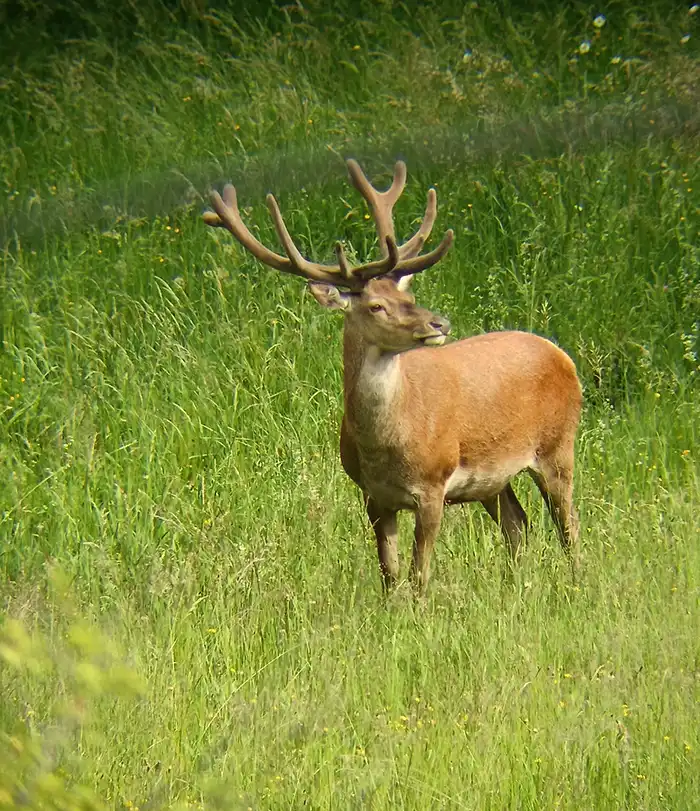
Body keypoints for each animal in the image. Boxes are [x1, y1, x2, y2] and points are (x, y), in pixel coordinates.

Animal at [203, 160, 582, 595]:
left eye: (409, 297)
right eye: (376, 306)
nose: (439, 323)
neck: (385, 443)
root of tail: (561, 354)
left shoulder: (433, 485)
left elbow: (419, 575)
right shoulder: (373, 496)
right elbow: (389, 573)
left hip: (557, 446)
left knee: (568, 525)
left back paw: (576, 585)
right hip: (494, 477)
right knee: (518, 524)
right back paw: (515, 587)